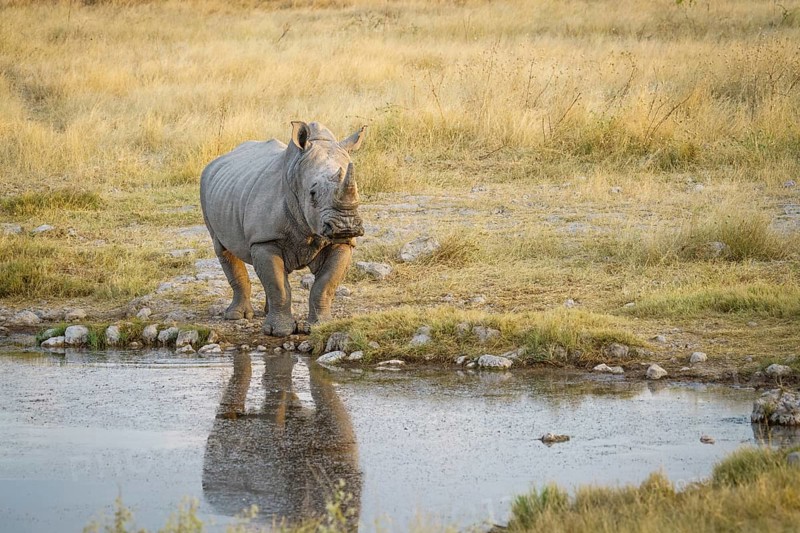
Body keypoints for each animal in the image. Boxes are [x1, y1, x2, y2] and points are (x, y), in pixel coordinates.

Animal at [200, 121, 366, 336]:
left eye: (358, 190)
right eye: (312, 193)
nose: (346, 226)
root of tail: (216, 161)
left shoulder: (342, 243)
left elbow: (325, 284)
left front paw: (319, 326)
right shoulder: (264, 238)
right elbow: (278, 285)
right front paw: (279, 332)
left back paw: (267, 312)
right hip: (206, 186)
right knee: (223, 248)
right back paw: (237, 316)